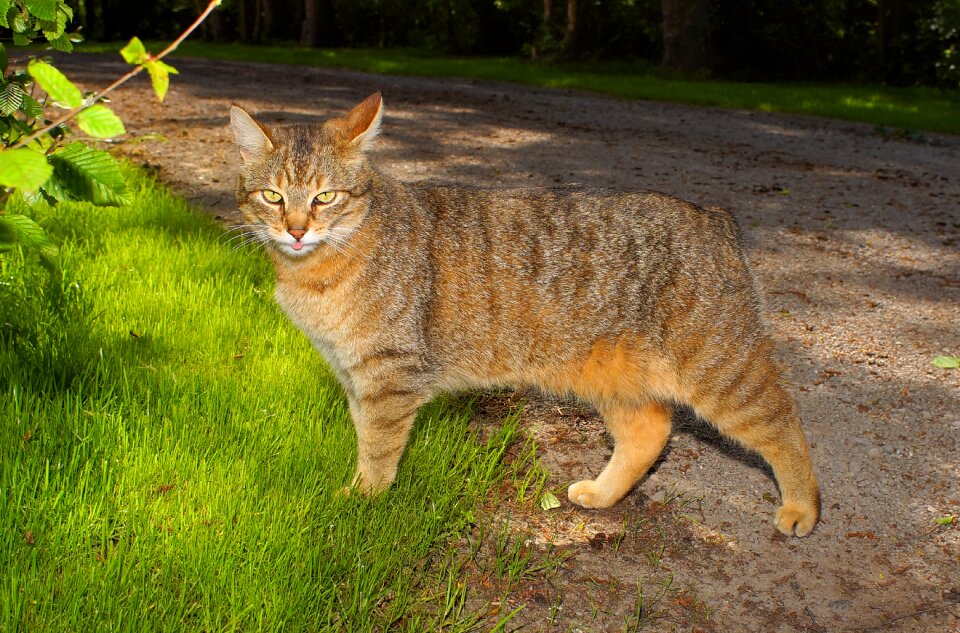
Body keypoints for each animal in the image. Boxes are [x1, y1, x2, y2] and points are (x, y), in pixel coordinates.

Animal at [229, 92, 820, 540]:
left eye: (325, 196)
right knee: (650, 432)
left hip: (722, 372)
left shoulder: (388, 377)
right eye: (272, 196)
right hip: (614, 378)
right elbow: (364, 437)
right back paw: (604, 492)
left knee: (784, 423)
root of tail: (716, 218)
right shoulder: (355, 376)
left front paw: (364, 498)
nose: (296, 230)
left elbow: (377, 448)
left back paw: (802, 507)